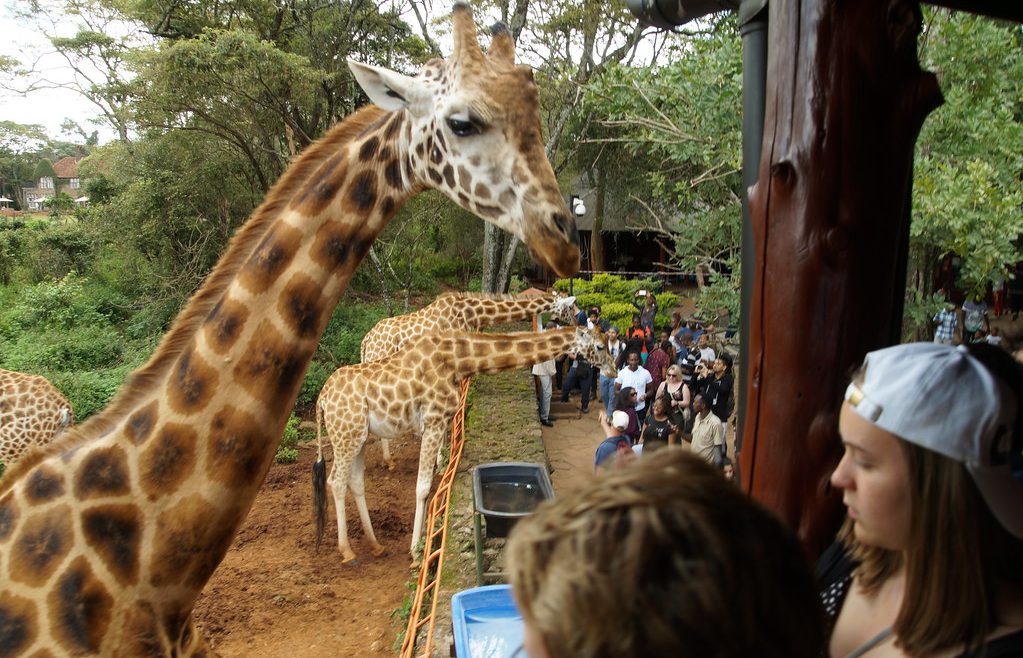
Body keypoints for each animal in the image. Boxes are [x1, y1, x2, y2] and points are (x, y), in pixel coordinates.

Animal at [312, 326, 616, 564]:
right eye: (600, 345)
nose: (613, 371)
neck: (457, 360)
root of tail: (322, 400)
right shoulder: (433, 420)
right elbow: (423, 487)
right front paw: (416, 551)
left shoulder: (439, 422)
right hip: (346, 437)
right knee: (335, 481)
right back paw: (347, 551)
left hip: (358, 438)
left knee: (355, 482)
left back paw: (375, 545)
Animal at [360, 290, 577, 469]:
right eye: (570, 307)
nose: (575, 323)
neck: (469, 312)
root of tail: (366, 341)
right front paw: (442, 459)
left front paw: (444, 453)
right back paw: (388, 461)